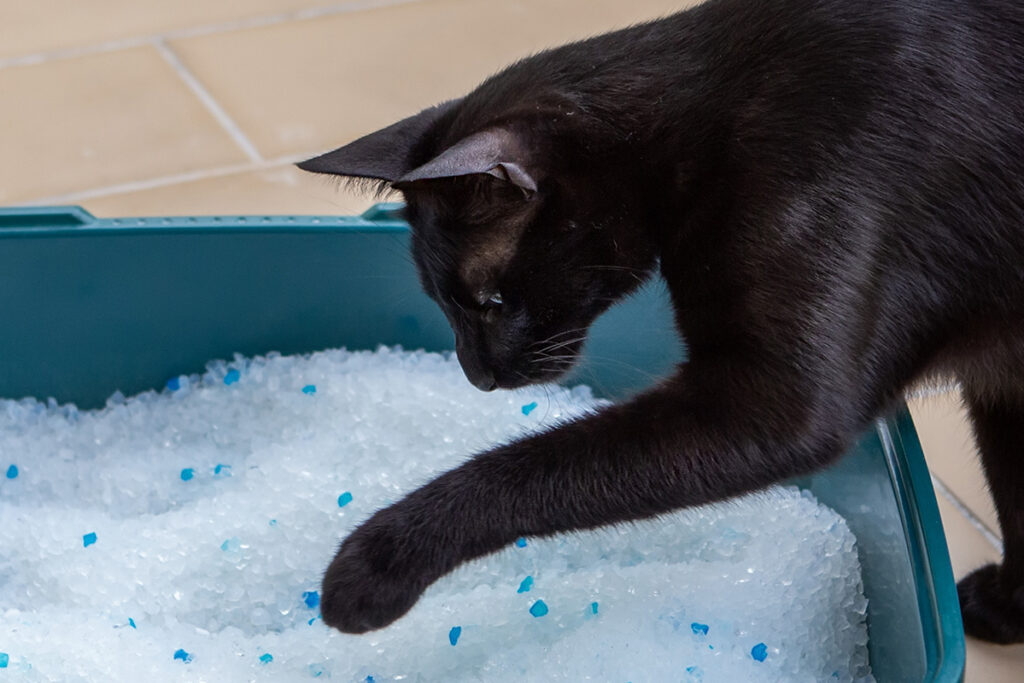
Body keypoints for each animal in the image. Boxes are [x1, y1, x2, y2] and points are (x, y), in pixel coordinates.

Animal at [296, 0, 1024, 647]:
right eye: (442, 302)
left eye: (490, 301)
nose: (476, 375)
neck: (707, 118)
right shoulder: (1002, 389)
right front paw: (1006, 611)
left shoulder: (774, 402)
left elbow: (522, 468)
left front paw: (374, 562)